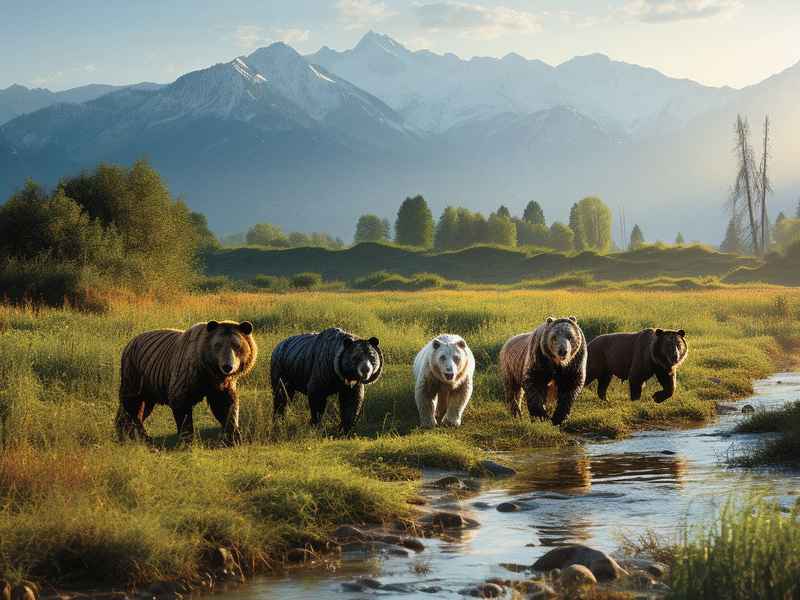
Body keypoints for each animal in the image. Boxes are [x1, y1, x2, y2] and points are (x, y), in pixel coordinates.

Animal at [115, 320, 257, 445]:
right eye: (218, 345)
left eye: (237, 345)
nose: (227, 366)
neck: (208, 370)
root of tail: (129, 343)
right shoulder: (187, 376)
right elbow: (181, 405)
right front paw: (187, 440)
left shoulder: (219, 385)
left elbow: (226, 405)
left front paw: (234, 437)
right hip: (135, 373)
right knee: (132, 404)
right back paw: (142, 436)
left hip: (149, 384)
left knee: (140, 407)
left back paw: (124, 434)